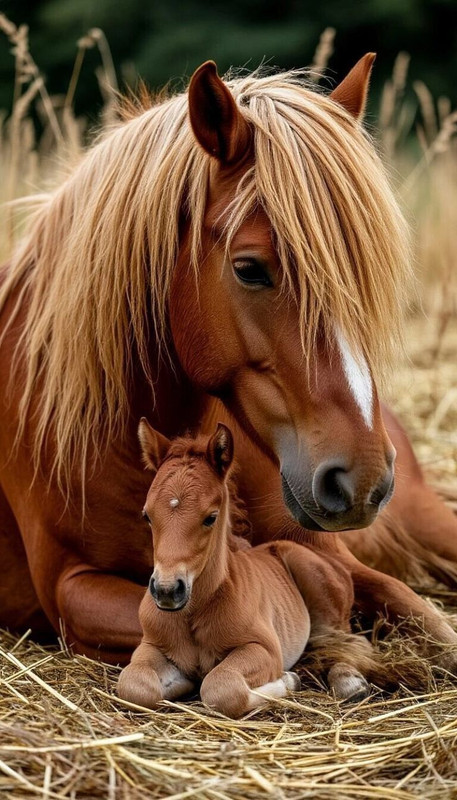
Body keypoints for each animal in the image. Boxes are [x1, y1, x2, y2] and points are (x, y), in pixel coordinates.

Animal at [118, 420, 382, 716]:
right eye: (147, 515)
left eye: (210, 517)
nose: (167, 590)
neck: (195, 610)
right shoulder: (151, 646)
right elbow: (133, 686)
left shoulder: (263, 648)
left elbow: (222, 687)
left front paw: (289, 680)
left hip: (321, 598)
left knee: (346, 642)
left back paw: (350, 683)